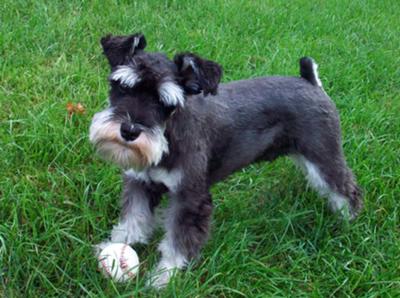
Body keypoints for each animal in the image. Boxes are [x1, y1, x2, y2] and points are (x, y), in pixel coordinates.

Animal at [90, 32, 362, 286]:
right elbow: (133, 219)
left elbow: (178, 242)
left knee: (346, 189)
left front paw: (164, 277)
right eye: (123, 87)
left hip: (324, 156)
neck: (170, 136)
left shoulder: (190, 198)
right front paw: (113, 245)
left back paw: (348, 223)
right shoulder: (140, 183)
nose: (129, 131)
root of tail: (310, 81)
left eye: (165, 102)